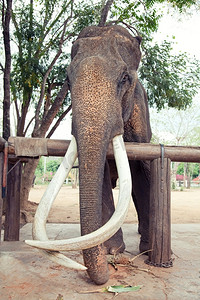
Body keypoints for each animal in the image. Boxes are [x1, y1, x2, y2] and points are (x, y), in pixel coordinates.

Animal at [26, 24, 152, 284]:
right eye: (67, 80)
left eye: (124, 78)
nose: (111, 266)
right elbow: (101, 174)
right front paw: (112, 250)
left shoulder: (139, 111)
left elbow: (143, 169)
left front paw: (148, 251)